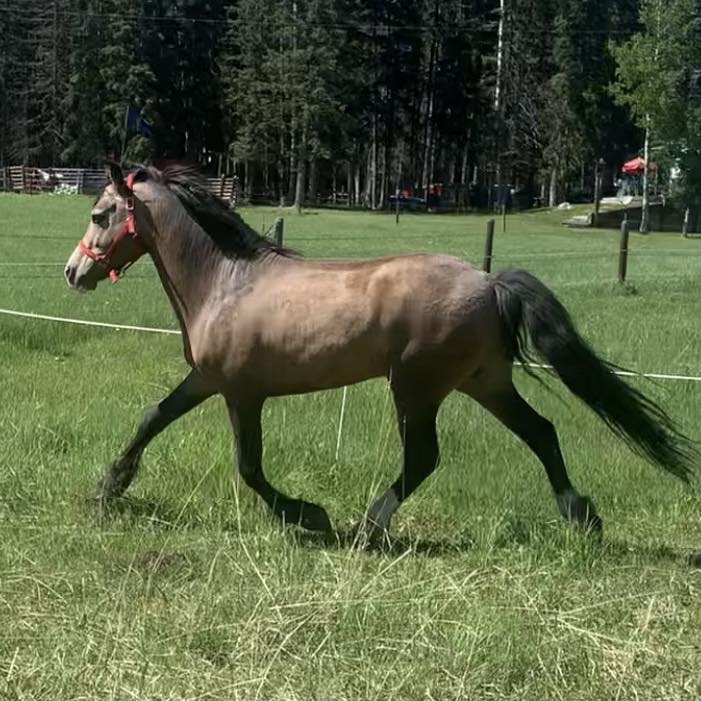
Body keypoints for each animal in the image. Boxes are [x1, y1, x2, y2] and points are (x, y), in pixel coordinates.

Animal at [63, 163, 696, 543]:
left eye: (99, 214)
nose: (73, 273)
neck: (225, 281)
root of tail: (490, 281)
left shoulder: (241, 392)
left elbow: (249, 467)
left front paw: (308, 515)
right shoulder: (205, 380)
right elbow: (152, 418)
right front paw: (109, 487)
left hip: (417, 386)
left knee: (424, 457)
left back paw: (368, 526)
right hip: (484, 381)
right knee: (540, 431)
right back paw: (580, 515)